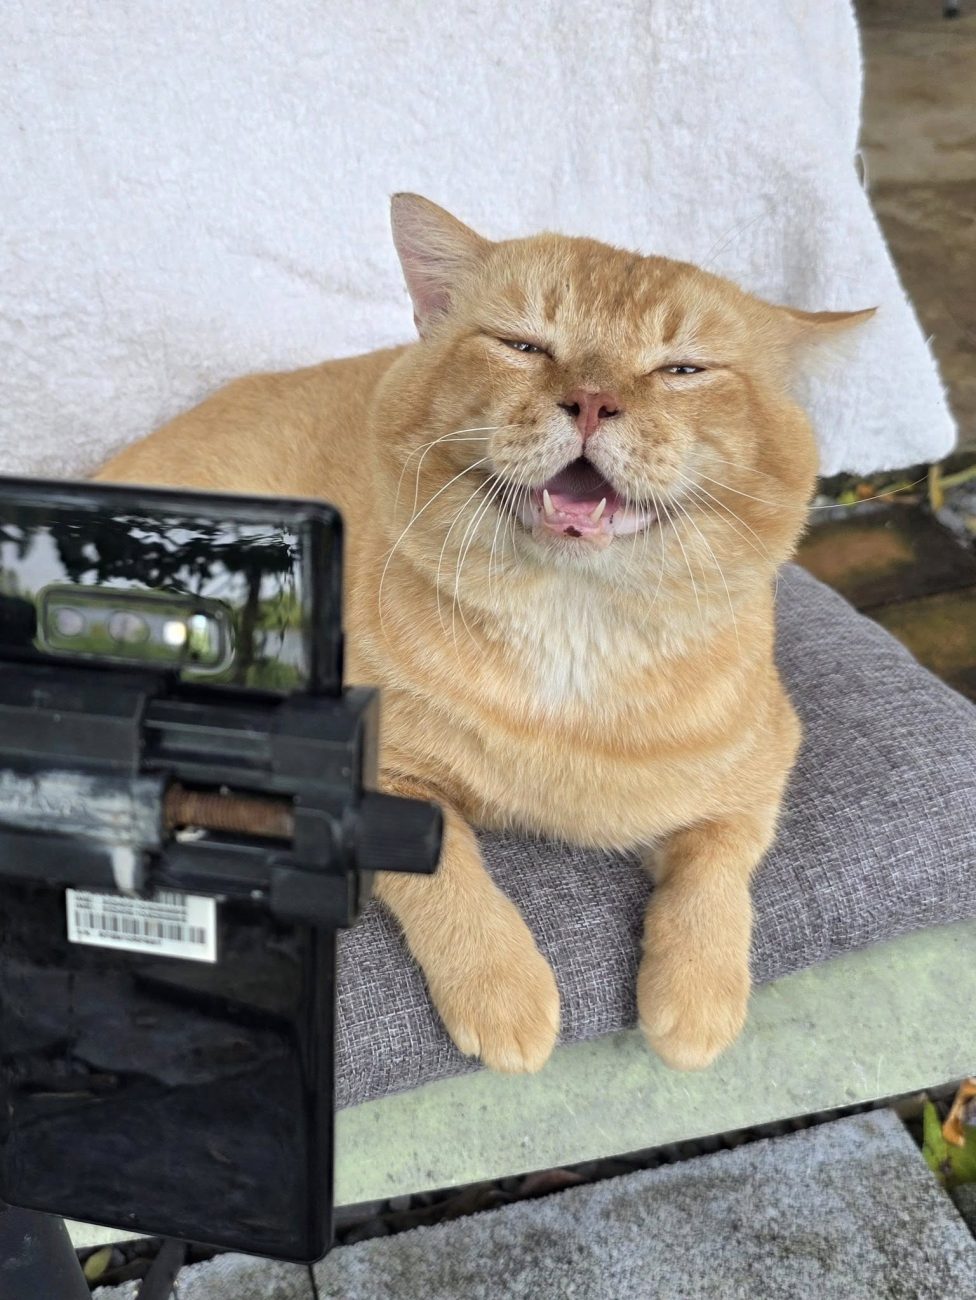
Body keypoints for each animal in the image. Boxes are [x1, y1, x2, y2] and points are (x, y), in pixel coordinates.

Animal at [95, 194, 872, 1073]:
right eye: (523, 344)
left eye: (682, 369)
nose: (593, 400)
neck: (573, 634)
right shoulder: (378, 781)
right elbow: (449, 876)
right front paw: (502, 987)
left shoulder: (763, 766)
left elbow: (717, 865)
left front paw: (697, 989)